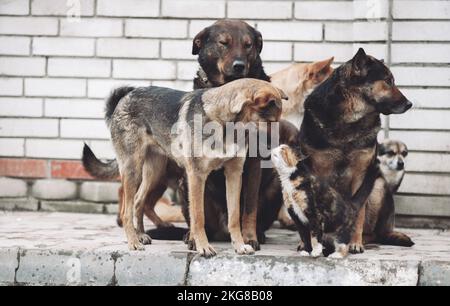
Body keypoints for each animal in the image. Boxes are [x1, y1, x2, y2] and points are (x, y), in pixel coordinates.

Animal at [93, 79, 284, 256]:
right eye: (269, 122)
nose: (276, 147)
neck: (224, 124)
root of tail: (124, 98)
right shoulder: (197, 176)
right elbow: (198, 216)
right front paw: (203, 247)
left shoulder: (234, 174)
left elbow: (234, 217)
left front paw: (239, 246)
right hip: (133, 169)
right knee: (126, 210)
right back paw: (133, 242)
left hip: (154, 173)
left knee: (139, 200)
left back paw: (140, 235)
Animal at [298, 48, 414, 253]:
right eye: (388, 81)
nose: (409, 104)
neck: (350, 118)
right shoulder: (317, 174)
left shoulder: (361, 177)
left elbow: (358, 212)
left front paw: (354, 242)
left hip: (378, 186)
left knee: (376, 233)